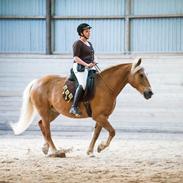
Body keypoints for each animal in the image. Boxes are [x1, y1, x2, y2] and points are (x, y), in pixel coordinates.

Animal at [10, 58, 153, 157]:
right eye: (141, 75)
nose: (149, 93)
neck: (106, 86)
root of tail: (36, 82)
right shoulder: (99, 116)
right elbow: (112, 131)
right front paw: (101, 147)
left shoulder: (102, 117)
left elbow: (96, 134)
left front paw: (91, 151)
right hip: (44, 111)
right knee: (47, 130)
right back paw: (56, 151)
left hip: (53, 112)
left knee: (41, 125)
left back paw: (46, 148)